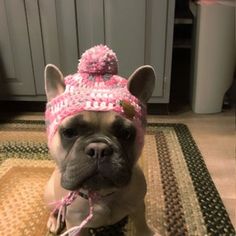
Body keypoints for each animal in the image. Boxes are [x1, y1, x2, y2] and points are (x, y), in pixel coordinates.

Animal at [44, 45, 157, 235]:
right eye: (69, 132)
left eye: (126, 133)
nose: (98, 149)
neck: (100, 195)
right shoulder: (76, 226)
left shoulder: (138, 208)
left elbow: (141, 226)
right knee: (56, 207)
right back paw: (54, 219)